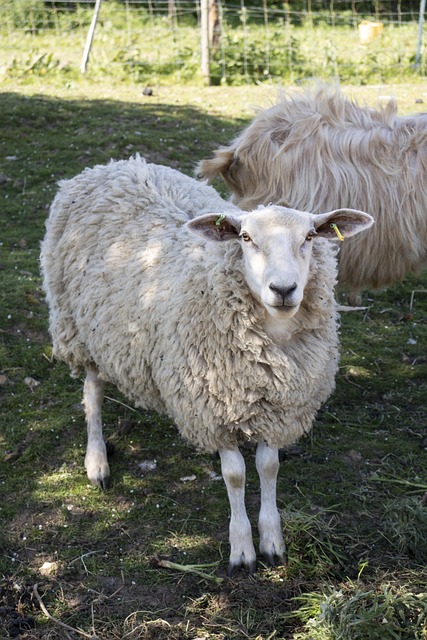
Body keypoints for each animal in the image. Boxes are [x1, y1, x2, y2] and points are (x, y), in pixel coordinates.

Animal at [41, 155, 374, 576]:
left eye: (311, 237)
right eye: (245, 238)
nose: (283, 289)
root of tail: (111, 166)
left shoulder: (279, 407)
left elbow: (268, 467)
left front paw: (273, 542)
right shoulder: (213, 408)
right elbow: (235, 475)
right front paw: (242, 549)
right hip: (79, 326)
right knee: (93, 391)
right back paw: (97, 460)